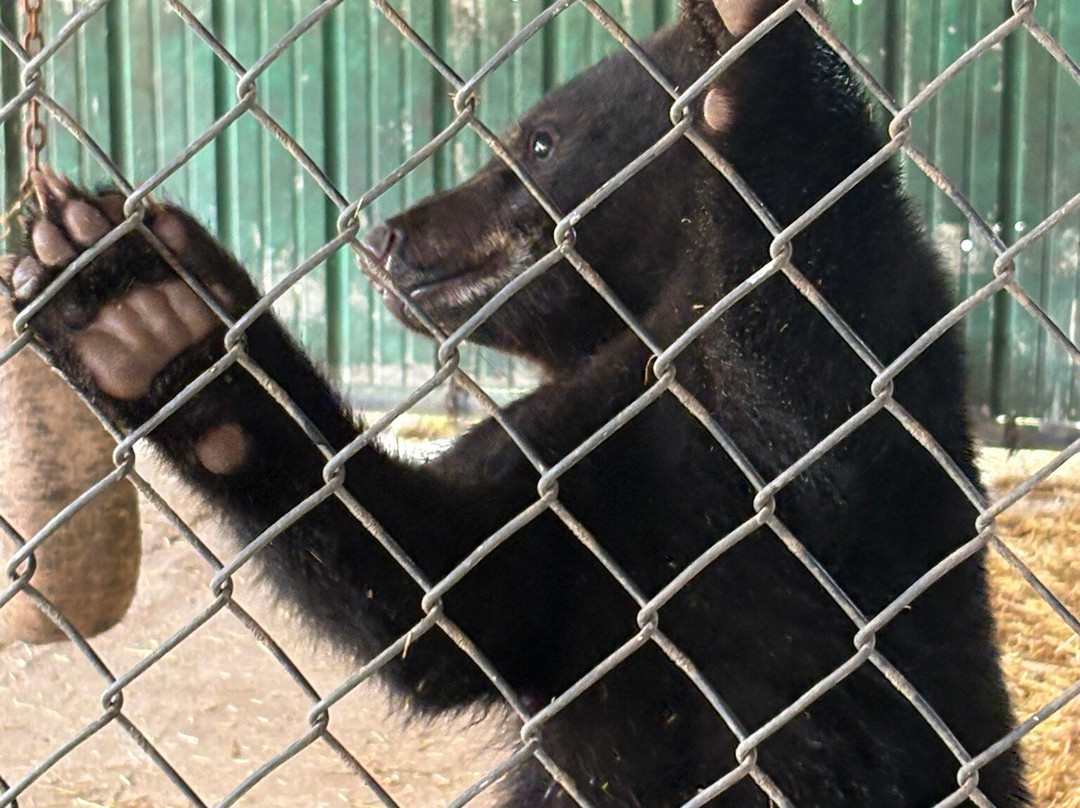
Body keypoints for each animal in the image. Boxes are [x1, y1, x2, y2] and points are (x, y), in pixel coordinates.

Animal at [2, 0, 1028, 806]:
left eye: (538, 141)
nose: (387, 234)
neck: (649, 334)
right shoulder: (568, 466)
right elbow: (450, 593)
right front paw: (145, 312)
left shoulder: (865, 389)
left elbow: (816, 355)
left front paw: (743, 54)